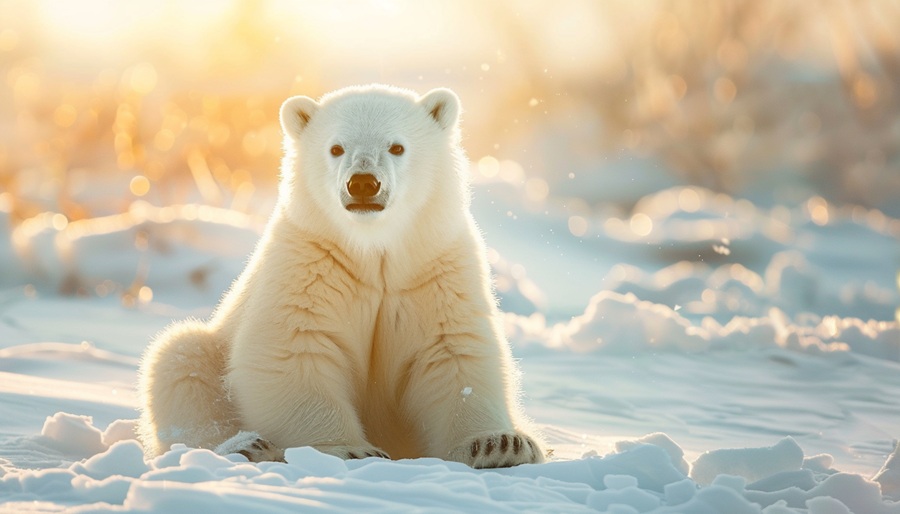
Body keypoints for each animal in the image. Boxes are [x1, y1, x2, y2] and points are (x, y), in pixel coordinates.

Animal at [137, 84, 545, 469]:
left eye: (397, 146)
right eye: (335, 148)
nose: (363, 183)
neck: (374, 251)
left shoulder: (435, 268)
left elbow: (453, 351)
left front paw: (498, 444)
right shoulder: (308, 262)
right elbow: (296, 348)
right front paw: (350, 450)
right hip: (209, 350)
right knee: (178, 361)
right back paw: (246, 446)